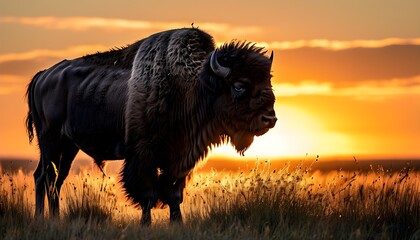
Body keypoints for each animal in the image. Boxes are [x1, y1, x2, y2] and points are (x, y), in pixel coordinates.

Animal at [25, 28, 276, 225]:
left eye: (268, 81)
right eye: (239, 86)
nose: (270, 119)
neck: (192, 88)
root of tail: (43, 76)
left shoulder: (180, 159)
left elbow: (174, 195)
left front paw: (177, 224)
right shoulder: (144, 155)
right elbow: (148, 194)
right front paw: (146, 225)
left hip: (68, 146)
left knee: (53, 178)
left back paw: (52, 217)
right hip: (49, 139)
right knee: (46, 176)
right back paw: (44, 218)